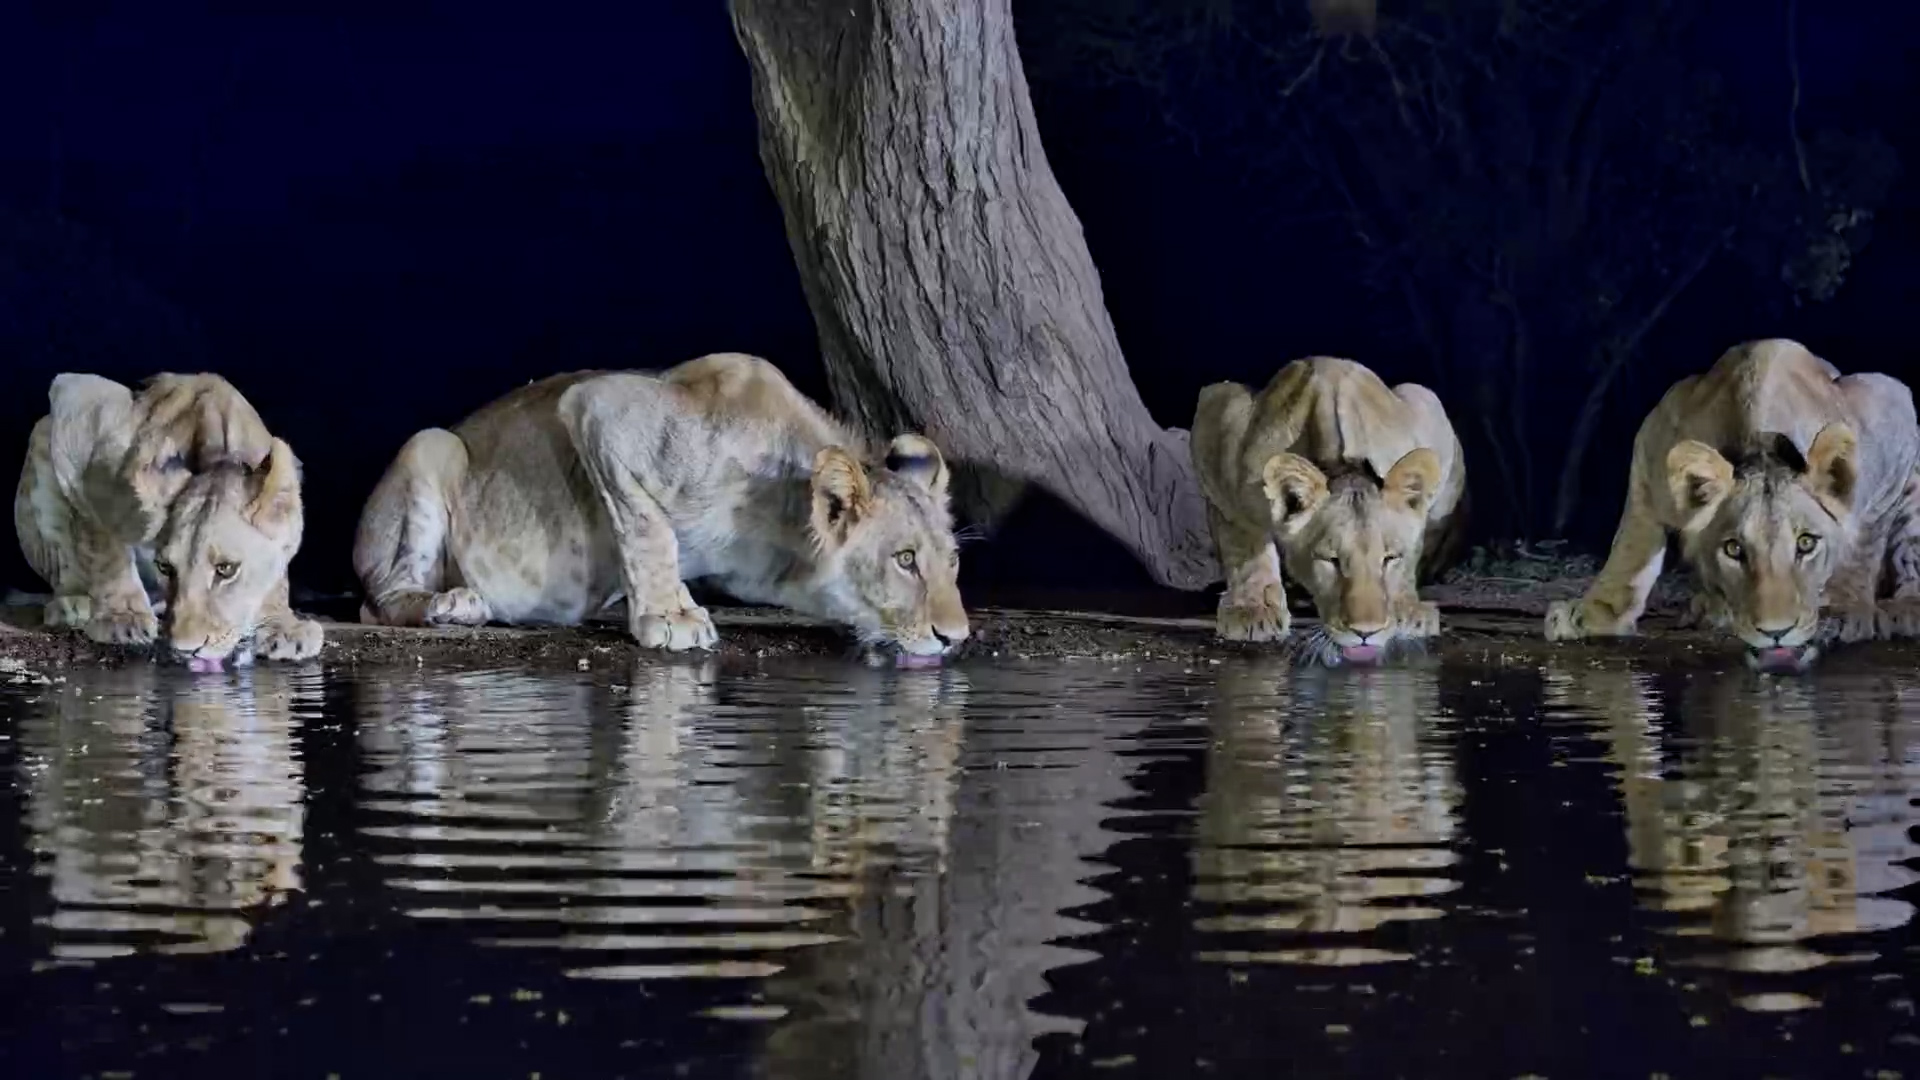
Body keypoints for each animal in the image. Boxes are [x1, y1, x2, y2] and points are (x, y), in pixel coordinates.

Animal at [14, 372, 325, 671]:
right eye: (165, 567)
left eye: (226, 569)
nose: (185, 650)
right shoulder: (79, 429)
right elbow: (106, 550)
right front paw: (122, 618)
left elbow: (277, 574)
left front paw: (282, 625)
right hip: (42, 439)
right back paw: (74, 603)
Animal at [352, 352, 970, 666]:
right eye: (906, 559)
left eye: (953, 562)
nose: (957, 638)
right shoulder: (600, 408)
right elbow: (649, 529)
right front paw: (669, 617)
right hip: (430, 445)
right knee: (379, 602)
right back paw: (451, 604)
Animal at [1190, 356, 1468, 664]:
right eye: (1331, 560)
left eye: (1389, 558)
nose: (1366, 632)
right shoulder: (1221, 427)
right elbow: (1243, 546)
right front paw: (1252, 611)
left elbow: (1412, 553)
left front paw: (1407, 610)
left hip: (1424, 399)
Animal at [1544, 338, 1920, 673]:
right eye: (1734, 549)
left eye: (1806, 543)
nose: (1776, 632)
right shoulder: (1653, 441)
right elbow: (1632, 539)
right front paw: (1595, 613)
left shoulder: (1893, 413)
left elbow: (1865, 540)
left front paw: (1843, 609)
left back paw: (1905, 608)